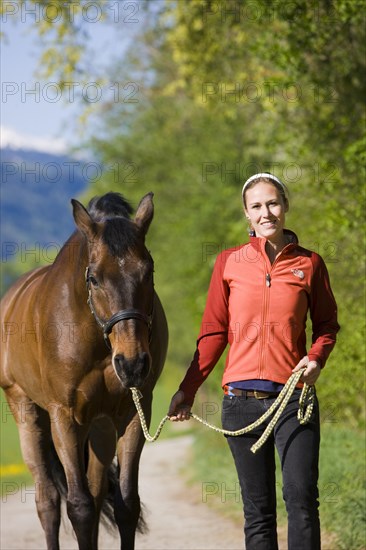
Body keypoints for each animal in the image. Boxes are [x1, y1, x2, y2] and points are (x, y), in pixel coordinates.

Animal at [0, 192, 169, 548]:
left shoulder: (133, 413)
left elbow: (126, 505)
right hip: (26, 410)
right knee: (48, 501)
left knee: (95, 491)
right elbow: (78, 507)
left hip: (100, 426)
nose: (132, 364)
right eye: (94, 278)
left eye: (149, 272)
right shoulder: (63, 417)